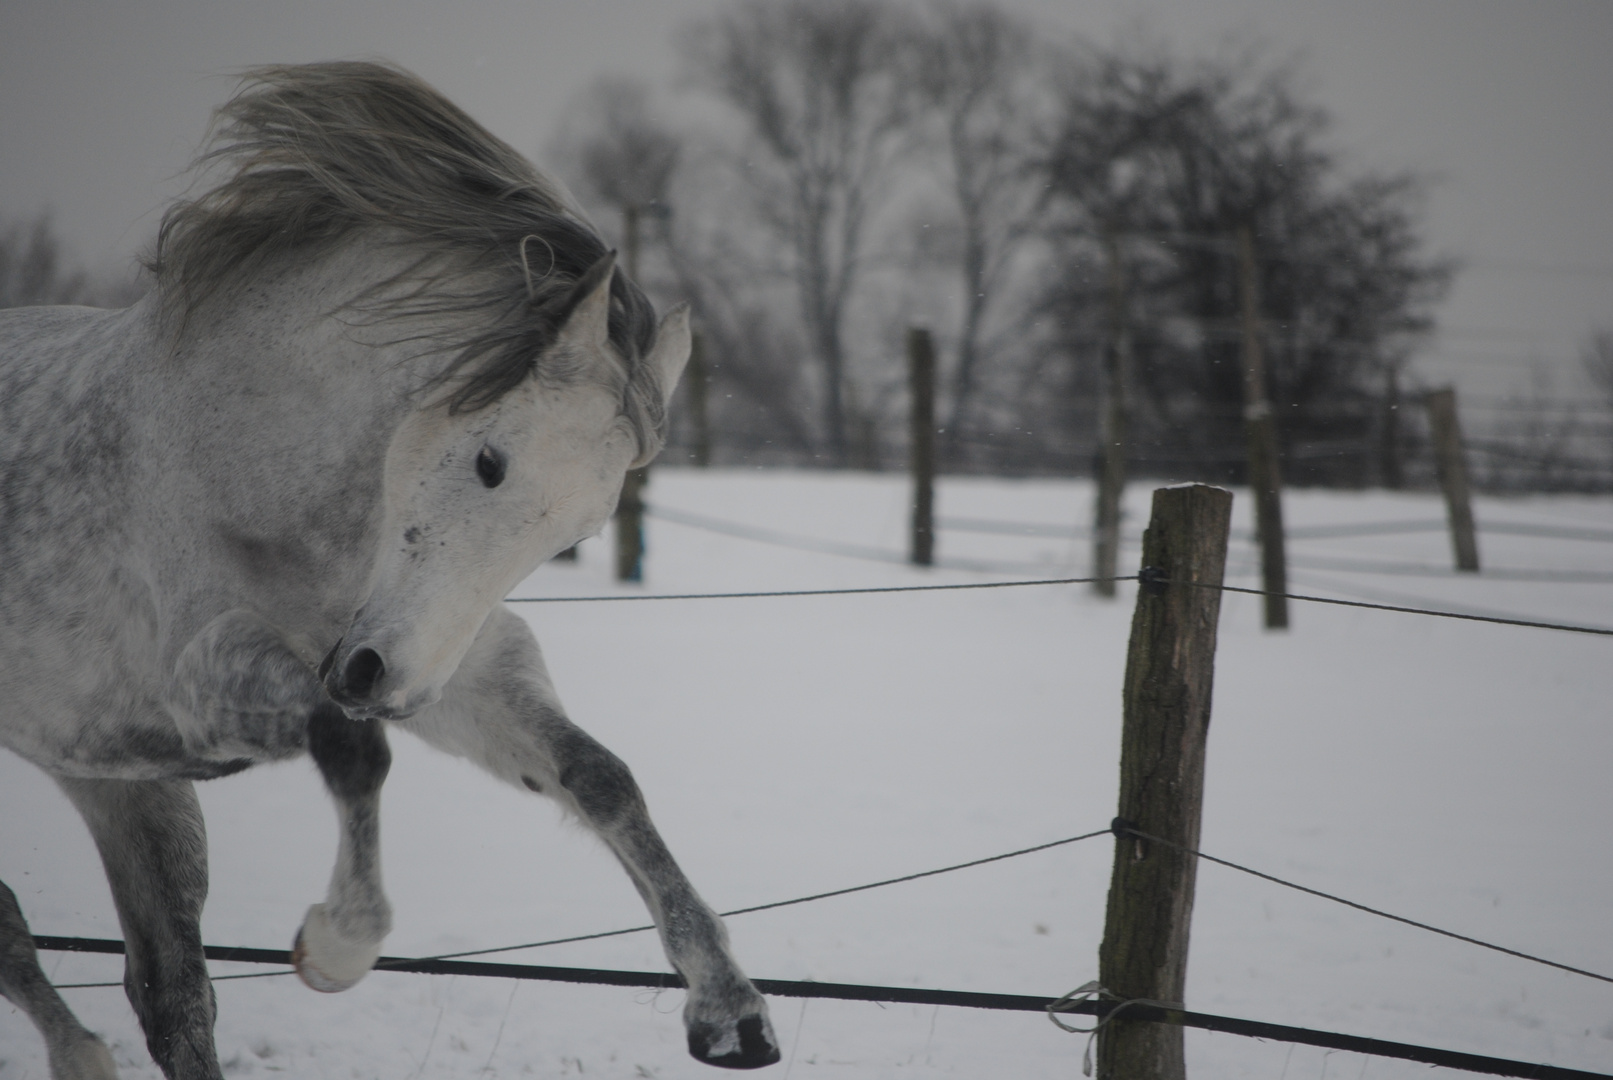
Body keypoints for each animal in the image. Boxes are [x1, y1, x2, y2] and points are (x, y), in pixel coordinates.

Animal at [0, 63, 780, 1076]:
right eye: (489, 460)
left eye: (578, 526)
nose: (378, 680)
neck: (247, 457)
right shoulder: (206, 681)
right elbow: (355, 749)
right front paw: (337, 945)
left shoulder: (446, 663)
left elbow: (599, 775)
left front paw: (730, 1011)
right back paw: (81, 1053)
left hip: (118, 781)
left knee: (168, 991)